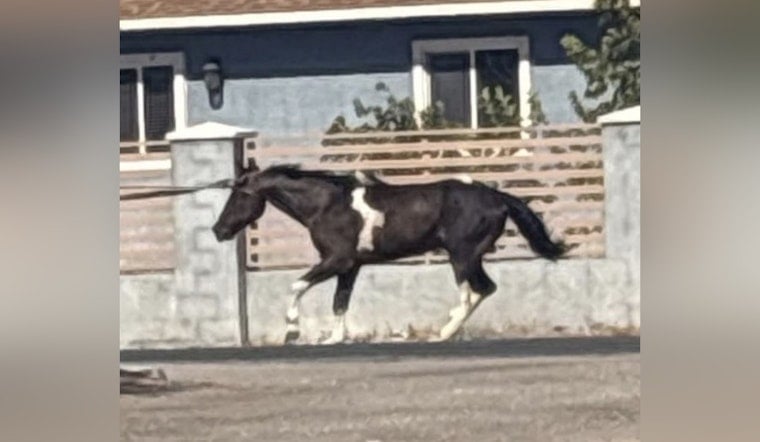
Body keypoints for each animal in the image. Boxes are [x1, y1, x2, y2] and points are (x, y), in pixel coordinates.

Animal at [212, 164, 565, 344]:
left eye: (238, 196)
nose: (218, 230)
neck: (327, 206)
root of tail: (498, 197)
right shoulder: (350, 266)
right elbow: (340, 302)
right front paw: (334, 339)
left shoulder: (336, 260)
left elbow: (296, 285)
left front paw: (292, 331)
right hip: (470, 256)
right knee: (484, 289)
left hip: (462, 255)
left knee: (472, 292)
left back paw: (442, 333)